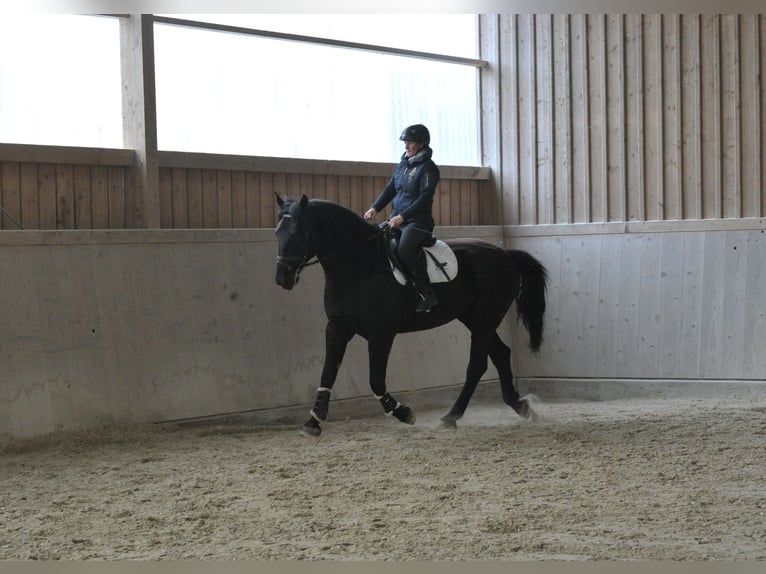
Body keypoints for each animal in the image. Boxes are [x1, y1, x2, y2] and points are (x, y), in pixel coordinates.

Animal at [274, 194, 548, 436]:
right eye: (277, 232)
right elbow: (328, 373)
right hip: (475, 319)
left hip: (484, 319)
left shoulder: (381, 334)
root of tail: (505, 254)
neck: (361, 266)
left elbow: (375, 380)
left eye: (299, 232)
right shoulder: (337, 329)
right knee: (501, 354)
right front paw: (313, 422)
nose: (282, 278)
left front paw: (403, 412)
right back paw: (519, 405)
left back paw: (451, 417)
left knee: (477, 365)